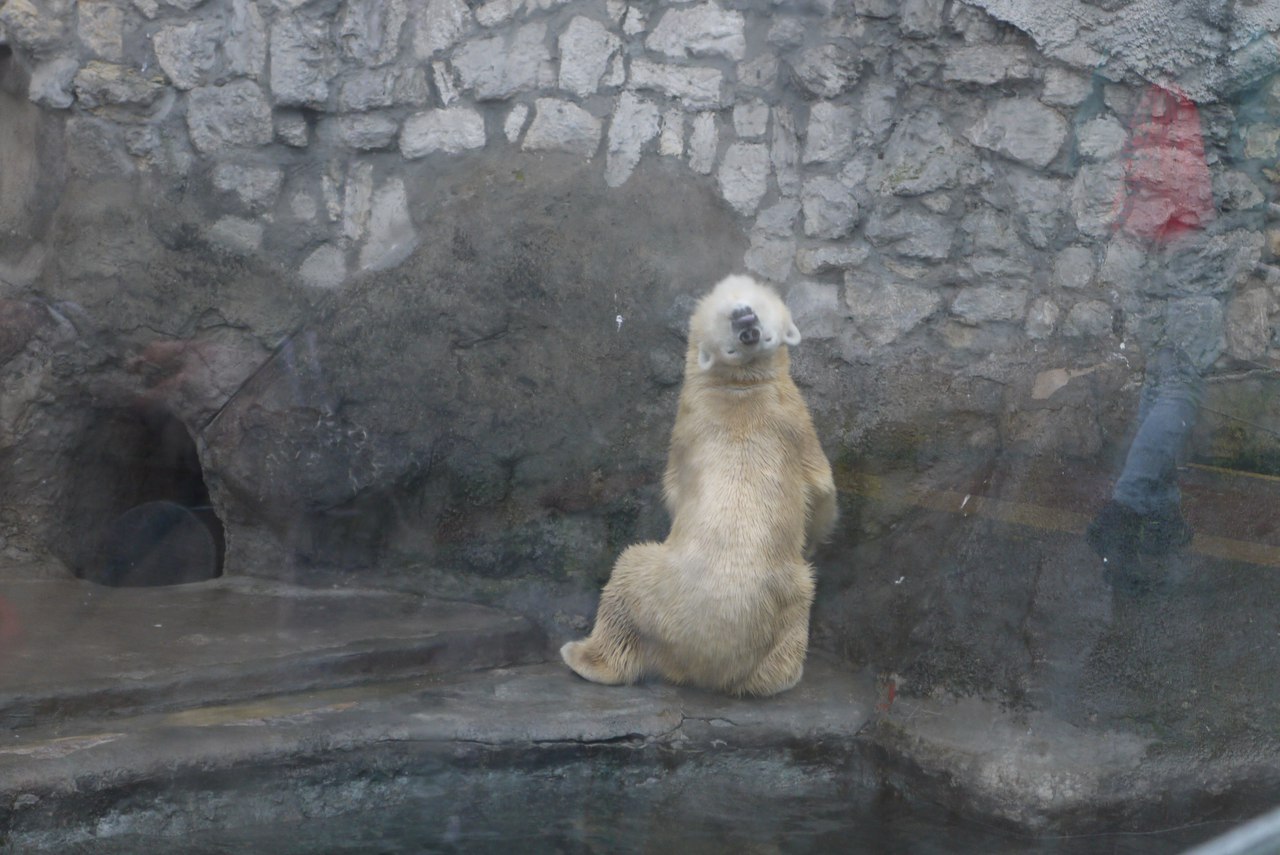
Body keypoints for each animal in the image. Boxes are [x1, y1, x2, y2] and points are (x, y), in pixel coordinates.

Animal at [560, 273, 839, 696]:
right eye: (734, 347)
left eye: (769, 337)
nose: (748, 326)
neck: (739, 387)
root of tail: (702, 659)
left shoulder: (780, 421)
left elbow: (821, 488)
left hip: (665, 586)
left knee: (624, 576)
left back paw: (580, 655)